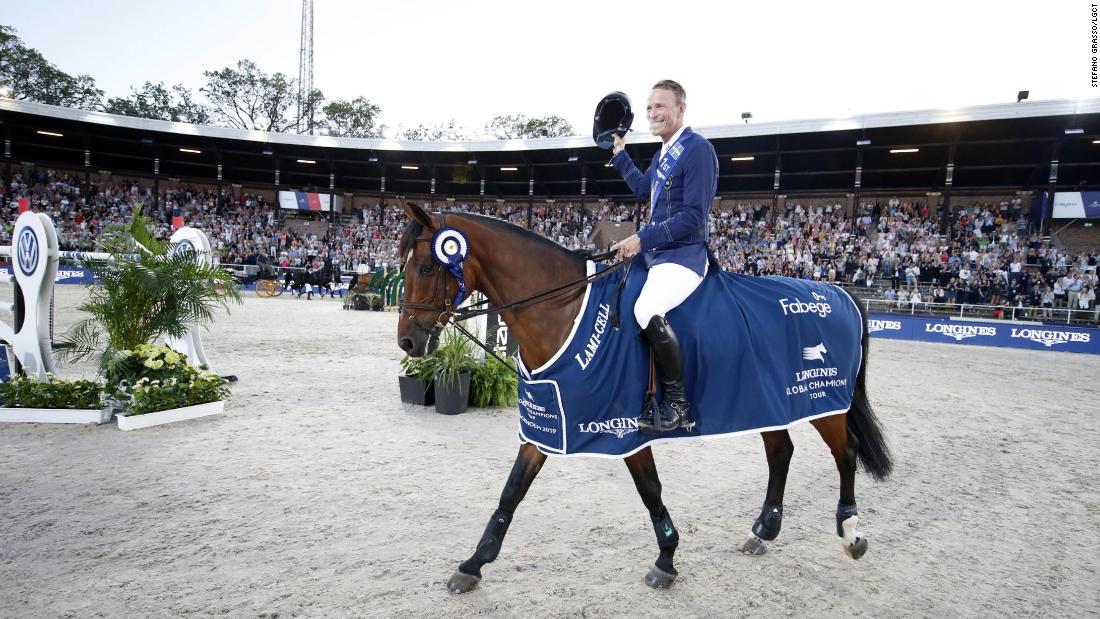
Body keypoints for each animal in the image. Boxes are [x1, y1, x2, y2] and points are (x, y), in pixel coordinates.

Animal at [396, 201, 893, 593]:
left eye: (426, 267)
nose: (408, 342)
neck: (566, 308)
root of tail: (839, 292)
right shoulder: (551, 421)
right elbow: (512, 491)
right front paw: (473, 564)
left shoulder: (621, 428)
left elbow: (650, 490)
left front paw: (667, 560)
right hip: (766, 400)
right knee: (781, 452)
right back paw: (763, 531)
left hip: (824, 403)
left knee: (845, 452)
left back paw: (850, 532)